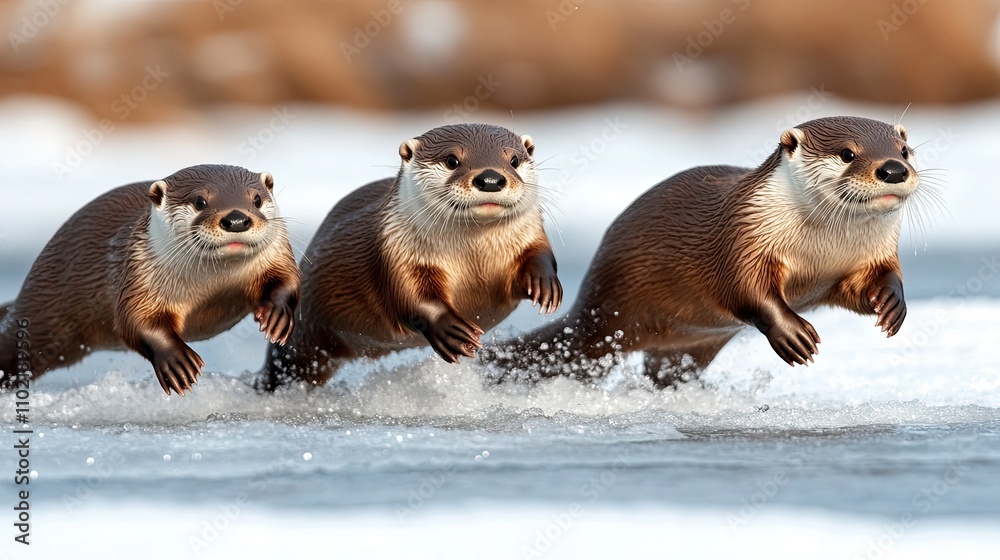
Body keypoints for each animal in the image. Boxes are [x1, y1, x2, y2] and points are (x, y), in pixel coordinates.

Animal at [0, 164, 300, 395]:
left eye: (257, 199)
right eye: (200, 201)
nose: (237, 219)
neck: (212, 286)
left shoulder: (279, 254)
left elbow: (289, 280)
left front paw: (276, 314)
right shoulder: (137, 273)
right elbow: (134, 321)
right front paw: (178, 362)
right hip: (43, 309)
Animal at [256, 123, 561, 390]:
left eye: (513, 160)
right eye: (452, 160)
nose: (490, 179)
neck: (474, 260)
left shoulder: (531, 234)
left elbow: (540, 254)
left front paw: (545, 284)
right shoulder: (397, 252)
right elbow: (411, 296)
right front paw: (450, 330)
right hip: (304, 326)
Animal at [487, 116, 919, 387]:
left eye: (905, 149)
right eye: (848, 153)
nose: (894, 169)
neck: (822, 252)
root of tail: (587, 306)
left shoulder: (868, 258)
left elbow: (868, 285)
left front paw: (892, 304)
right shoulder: (743, 238)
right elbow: (747, 291)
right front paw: (794, 334)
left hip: (690, 347)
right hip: (606, 321)